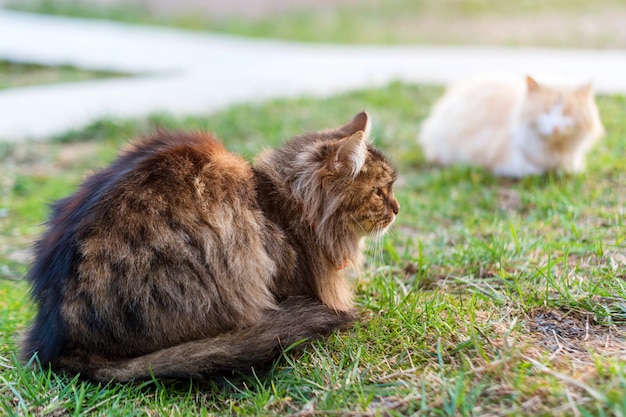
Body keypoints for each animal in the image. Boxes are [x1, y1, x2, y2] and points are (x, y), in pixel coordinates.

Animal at [416, 75, 604, 176]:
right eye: (545, 111)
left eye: (567, 112)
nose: (555, 127)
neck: (555, 148)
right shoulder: (503, 159)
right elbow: (533, 169)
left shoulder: (573, 162)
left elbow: (570, 169)